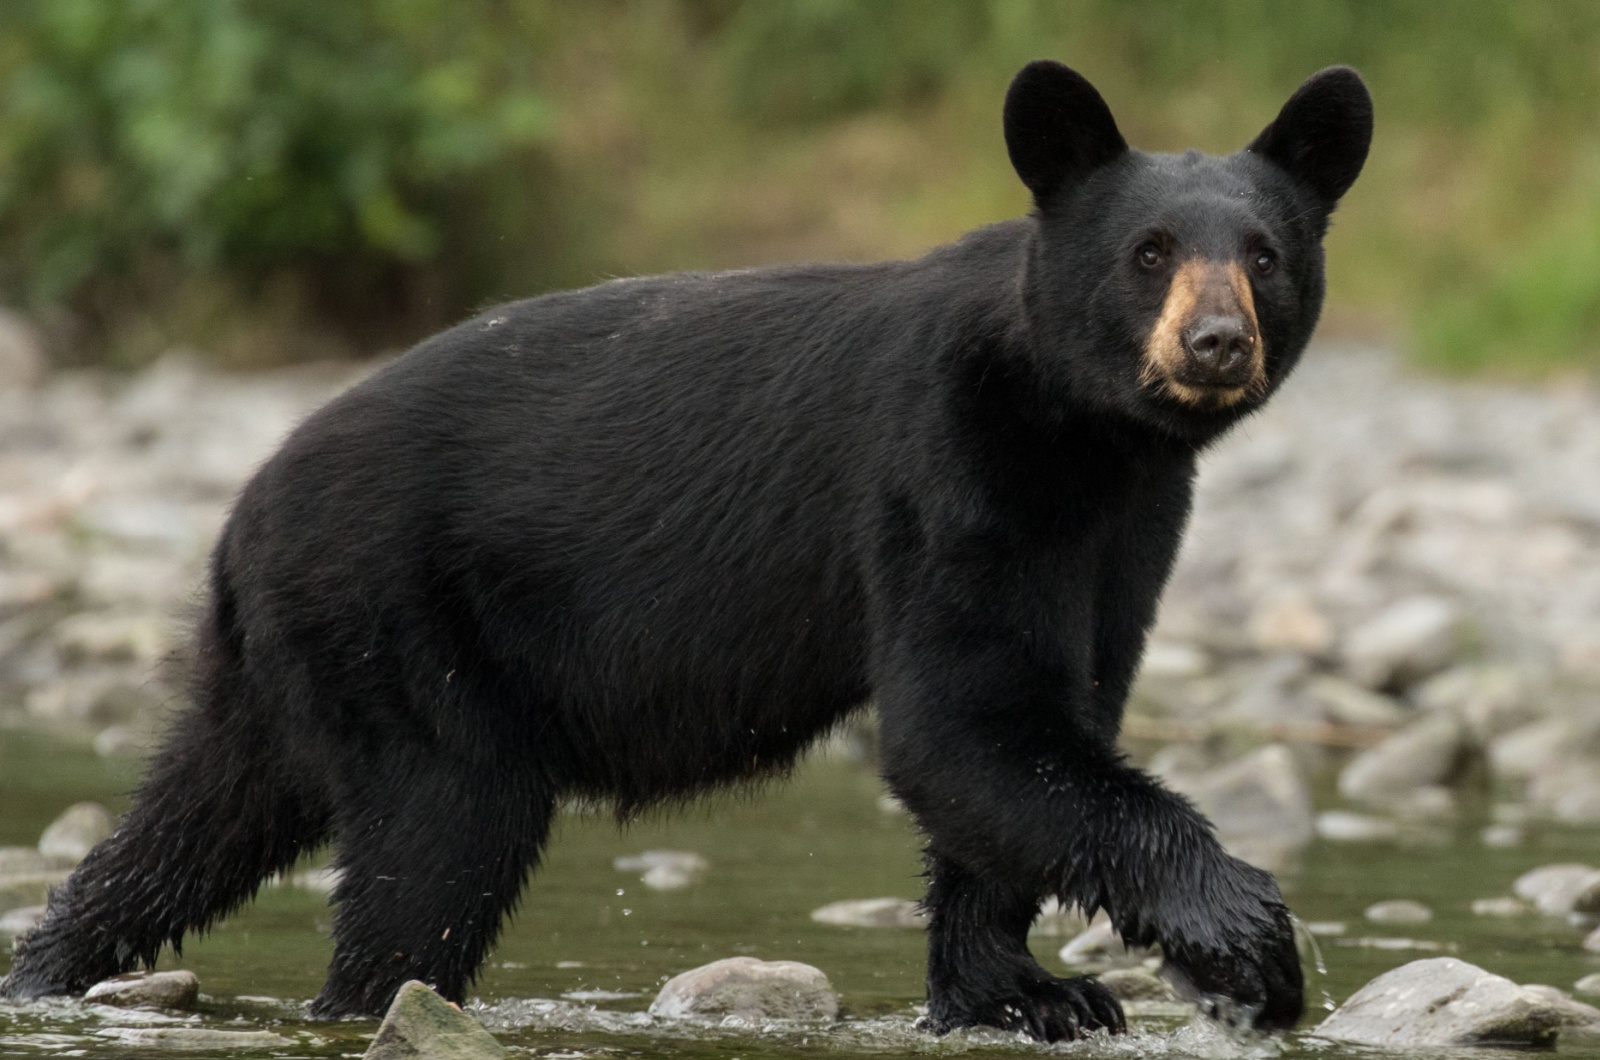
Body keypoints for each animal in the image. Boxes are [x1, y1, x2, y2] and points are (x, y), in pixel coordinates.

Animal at [6, 62, 1369, 1043]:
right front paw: (1248, 943)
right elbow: (964, 722)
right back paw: (369, 1001)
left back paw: (51, 963)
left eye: (1262, 255)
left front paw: (1022, 992)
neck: (1082, 434)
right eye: (1149, 253)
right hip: (397, 623)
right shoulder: (946, 469)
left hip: (287, 659)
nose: (1212, 344)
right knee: (431, 846)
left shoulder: (1125, 528)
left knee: (196, 818)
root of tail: (243, 509)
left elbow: (1042, 721)